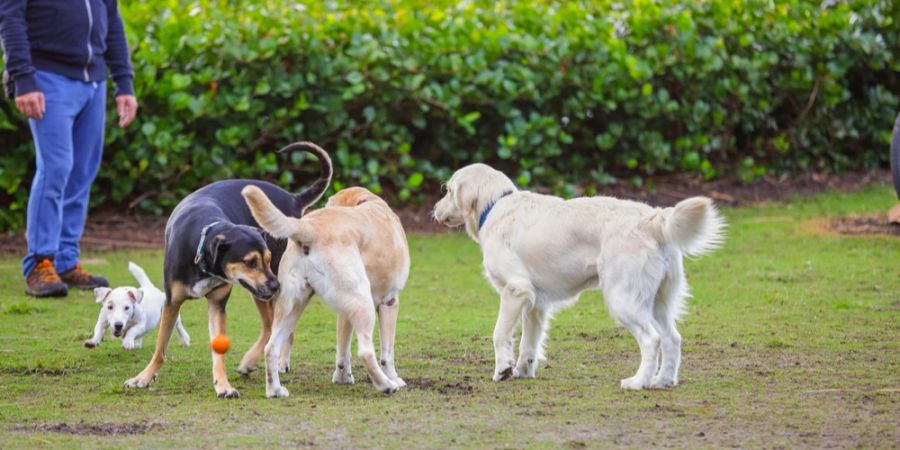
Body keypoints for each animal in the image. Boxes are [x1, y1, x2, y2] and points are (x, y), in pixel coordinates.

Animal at [121, 141, 328, 398]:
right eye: (250, 262)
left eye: (267, 259)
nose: (276, 285)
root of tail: (293, 198)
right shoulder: (172, 302)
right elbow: (160, 347)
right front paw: (143, 378)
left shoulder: (218, 303)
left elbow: (218, 350)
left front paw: (223, 385)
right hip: (259, 292)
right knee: (273, 326)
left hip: (264, 290)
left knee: (273, 327)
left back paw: (261, 361)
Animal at [239, 186, 408, 398]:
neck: (366, 200)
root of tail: (309, 227)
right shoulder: (390, 302)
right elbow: (387, 352)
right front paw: (395, 378)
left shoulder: (345, 313)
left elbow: (343, 349)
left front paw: (342, 377)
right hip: (363, 301)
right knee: (366, 352)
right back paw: (386, 385)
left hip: (291, 308)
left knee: (271, 347)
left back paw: (275, 390)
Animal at [434, 163, 724, 388]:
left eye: (448, 190)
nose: (434, 210)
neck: (495, 207)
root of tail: (653, 217)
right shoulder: (535, 304)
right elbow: (529, 345)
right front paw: (522, 372)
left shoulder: (515, 290)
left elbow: (499, 334)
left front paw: (502, 370)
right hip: (658, 303)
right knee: (672, 339)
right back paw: (662, 381)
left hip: (623, 301)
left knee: (652, 340)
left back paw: (638, 382)